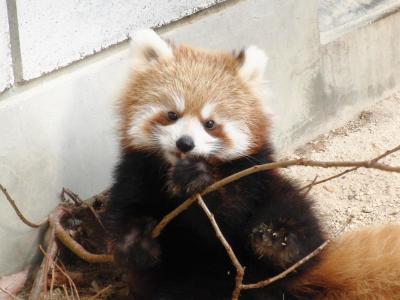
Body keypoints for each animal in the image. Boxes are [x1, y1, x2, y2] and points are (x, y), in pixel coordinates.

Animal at [103, 28, 400, 300]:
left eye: (210, 123)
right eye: (171, 115)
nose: (185, 144)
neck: (171, 172)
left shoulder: (250, 174)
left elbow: (230, 214)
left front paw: (199, 178)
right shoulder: (135, 171)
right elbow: (126, 209)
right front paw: (135, 242)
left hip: (280, 206)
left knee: (295, 215)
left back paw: (278, 243)